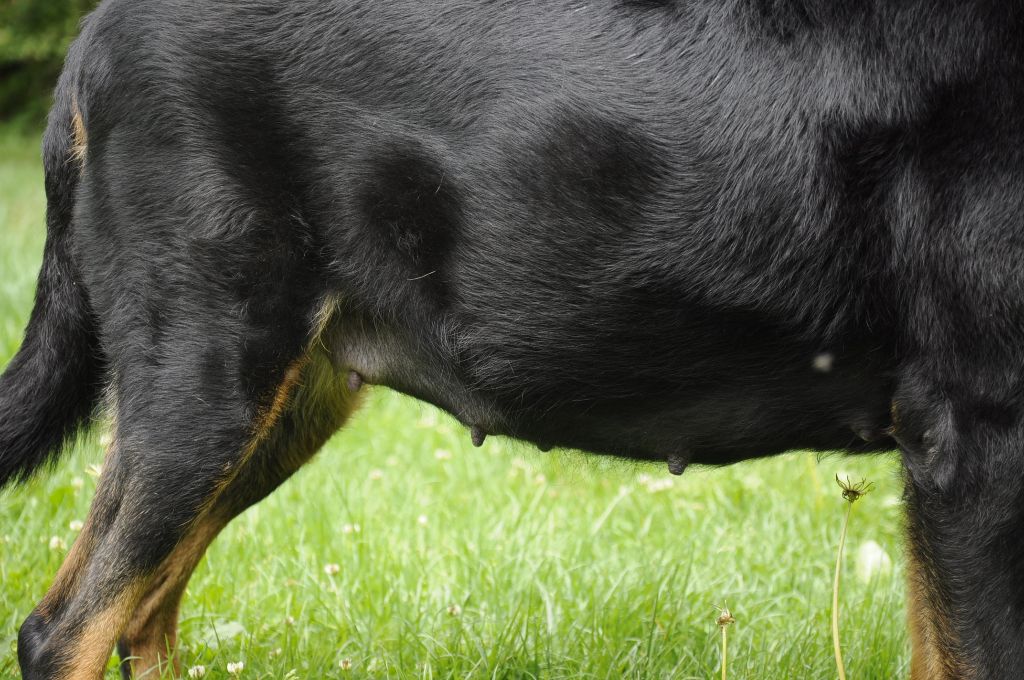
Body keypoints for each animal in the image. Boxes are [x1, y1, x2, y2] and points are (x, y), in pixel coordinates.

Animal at [2, 0, 1024, 675]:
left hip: (282, 403)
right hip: (211, 380)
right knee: (66, 629)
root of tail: (94, 32)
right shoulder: (973, 437)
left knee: (142, 617)